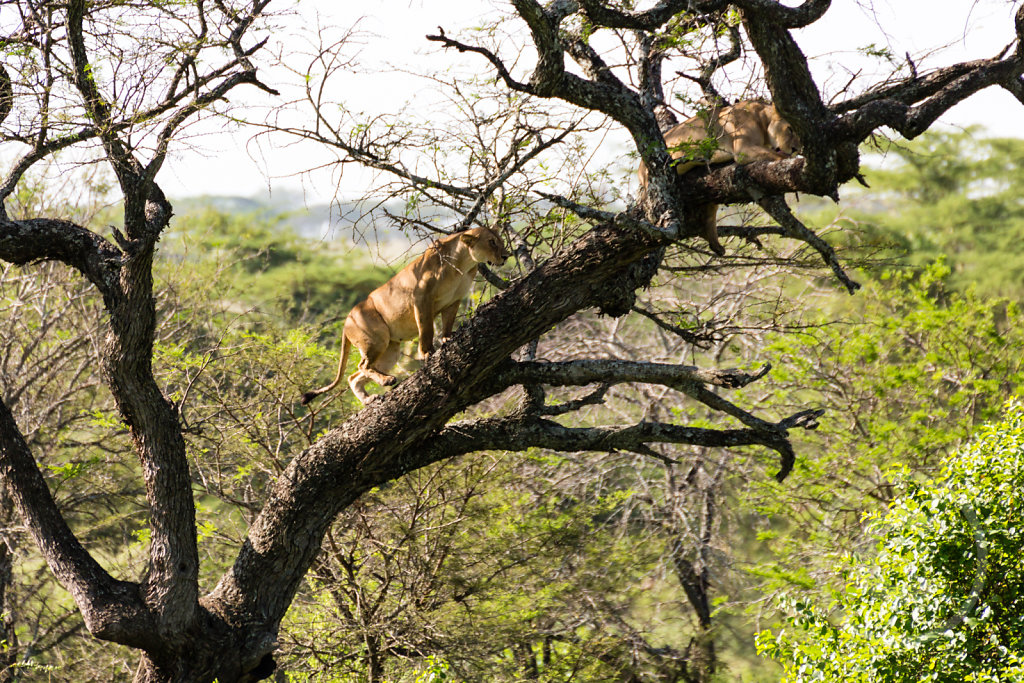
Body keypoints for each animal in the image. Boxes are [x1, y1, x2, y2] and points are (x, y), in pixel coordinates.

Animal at [303, 227, 512, 405]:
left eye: (501, 241)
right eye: (492, 242)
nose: (505, 256)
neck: (462, 262)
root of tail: (346, 321)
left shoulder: (454, 300)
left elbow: (448, 322)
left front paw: (447, 338)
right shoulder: (421, 298)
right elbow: (426, 329)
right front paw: (427, 353)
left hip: (389, 352)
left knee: (353, 377)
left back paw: (369, 399)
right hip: (376, 338)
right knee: (363, 366)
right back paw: (386, 381)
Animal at [638, 98, 798, 253]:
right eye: (789, 129)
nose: (795, 149)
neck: (763, 119)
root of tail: (639, 171)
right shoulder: (743, 149)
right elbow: (778, 156)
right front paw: (792, 160)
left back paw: (714, 242)